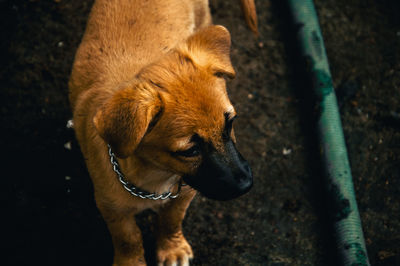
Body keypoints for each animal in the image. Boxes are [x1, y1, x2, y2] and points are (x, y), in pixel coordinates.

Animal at [69, 1, 255, 264]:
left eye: (229, 123)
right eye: (191, 150)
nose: (246, 184)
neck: (154, 175)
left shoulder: (184, 194)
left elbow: (170, 221)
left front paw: (172, 249)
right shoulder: (111, 207)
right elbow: (128, 238)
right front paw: (131, 262)